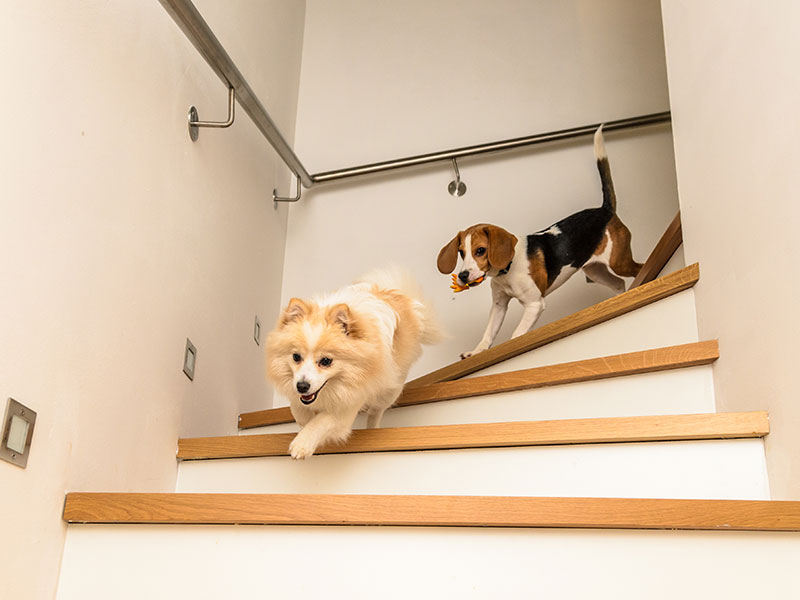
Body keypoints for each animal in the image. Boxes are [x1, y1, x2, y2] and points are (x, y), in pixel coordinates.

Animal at [438, 126, 644, 358]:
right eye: (461, 252)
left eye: (480, 250)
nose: (463, 276)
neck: (507, 270)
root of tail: (604, 210)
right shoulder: (499, 305)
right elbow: (488, 333)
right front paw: (476, 351)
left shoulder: (534, 304)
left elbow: (516, 335)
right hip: (595, 271)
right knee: (618, 283)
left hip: (619, 262)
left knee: (638, 268)